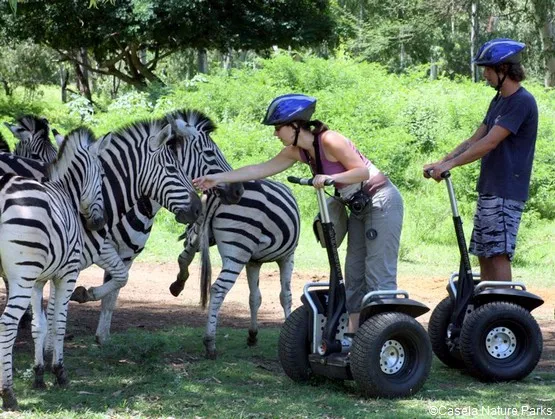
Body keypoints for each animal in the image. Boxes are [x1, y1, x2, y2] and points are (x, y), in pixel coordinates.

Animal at [0, 127, 108, 410]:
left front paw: (39, 375)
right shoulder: (67, 274)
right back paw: (8, 394)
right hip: (21, 277)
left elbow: (39, 325)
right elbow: (58, 322)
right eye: (102, 176)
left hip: (24, 277)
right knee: (7, 323)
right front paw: (59, 373)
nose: (100, 223)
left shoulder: (38, 280)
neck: (67, 193)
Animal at [175, 179, 302, 360]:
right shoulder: (287, 257)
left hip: (200, 232)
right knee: (218, 289)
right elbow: (285, 296)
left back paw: (177, 285)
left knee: (183, 258)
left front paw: (253, 335)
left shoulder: (253, 262)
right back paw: (210, 342)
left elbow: (255, 298)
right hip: (237, 249)